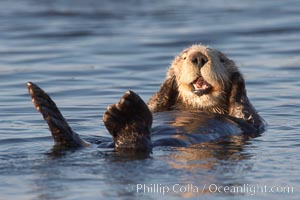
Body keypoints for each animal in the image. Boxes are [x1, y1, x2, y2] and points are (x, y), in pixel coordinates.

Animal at [26, 44, 264, 152]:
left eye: (222, 59)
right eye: (184, 56)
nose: (198, 57)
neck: (198, 106)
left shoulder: (254, 122)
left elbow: (245, 112)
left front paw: (238, 83)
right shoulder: (158, 106)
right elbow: (155, 103)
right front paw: (169, 82)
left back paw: (126, 116)